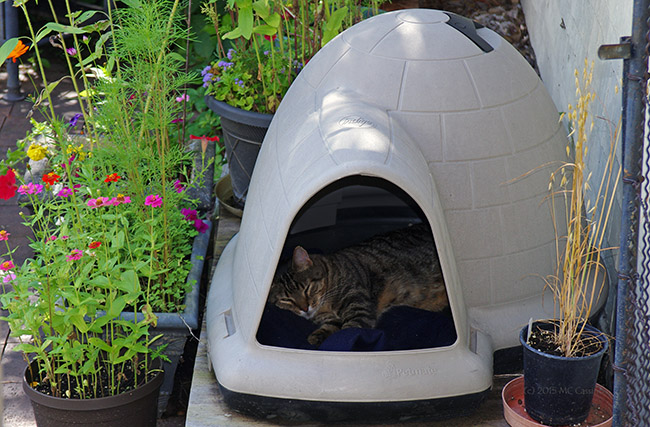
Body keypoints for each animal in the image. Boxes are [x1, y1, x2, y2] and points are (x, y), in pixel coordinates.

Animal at [268, 224, 446, 348]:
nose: (305, 308)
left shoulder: (359, 306)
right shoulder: (328, 318)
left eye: (307, 288)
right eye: (286, 300)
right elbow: (330, 327)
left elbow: (349, 331)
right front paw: (316, 337)